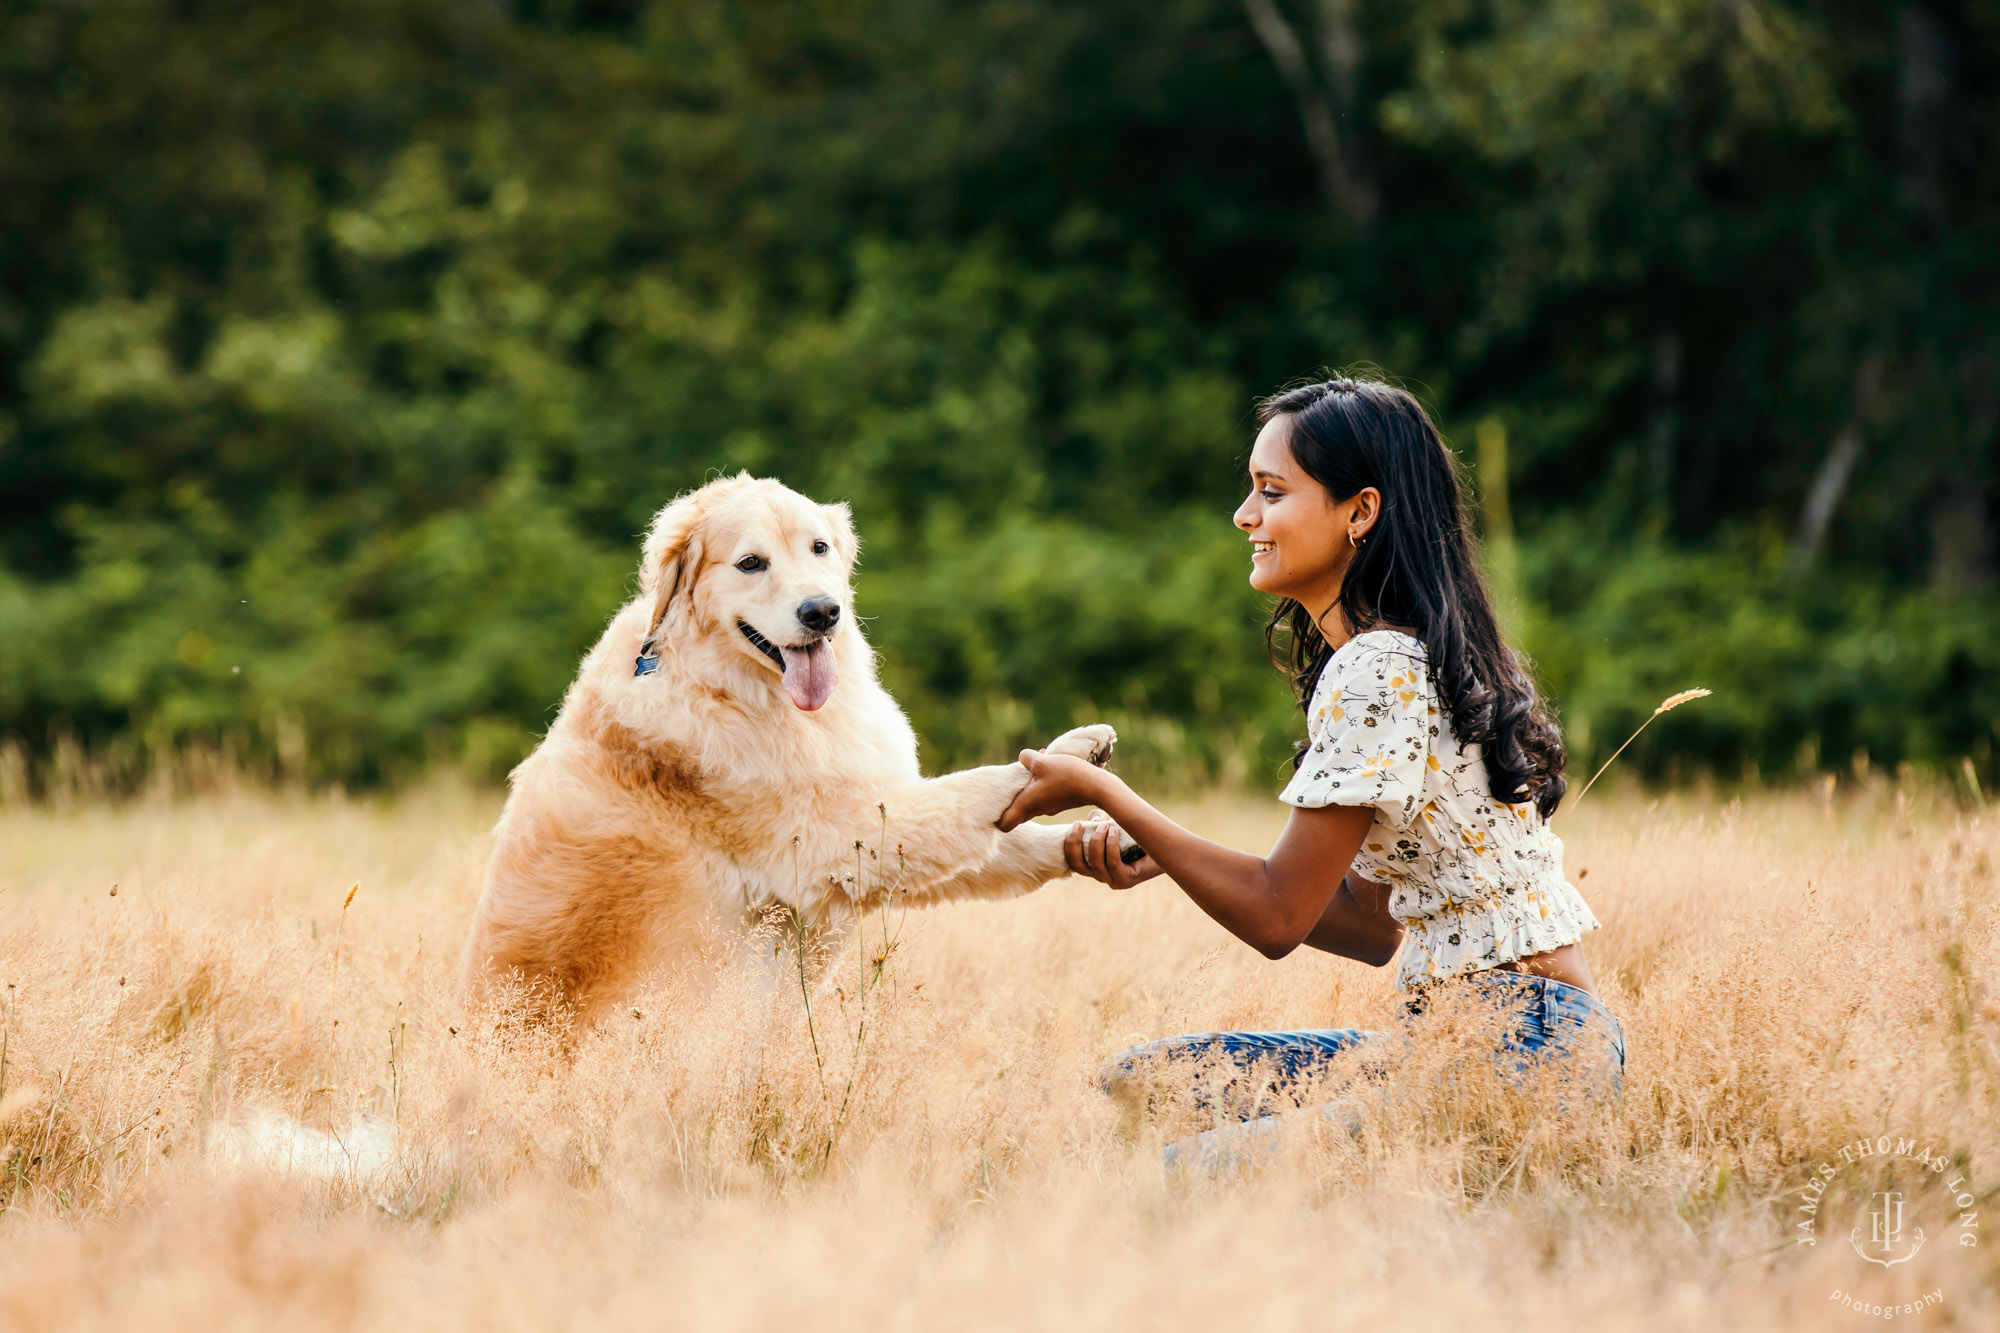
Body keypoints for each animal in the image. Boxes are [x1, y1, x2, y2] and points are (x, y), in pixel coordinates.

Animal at [458, 470, 1112, 1016]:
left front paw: (1095, 840)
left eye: (819, 548)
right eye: (751, 563)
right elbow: (969, 790)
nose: (823, 612)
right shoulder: (841, 834)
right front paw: (1068, 753)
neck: (732, 690)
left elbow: (1009, 840)